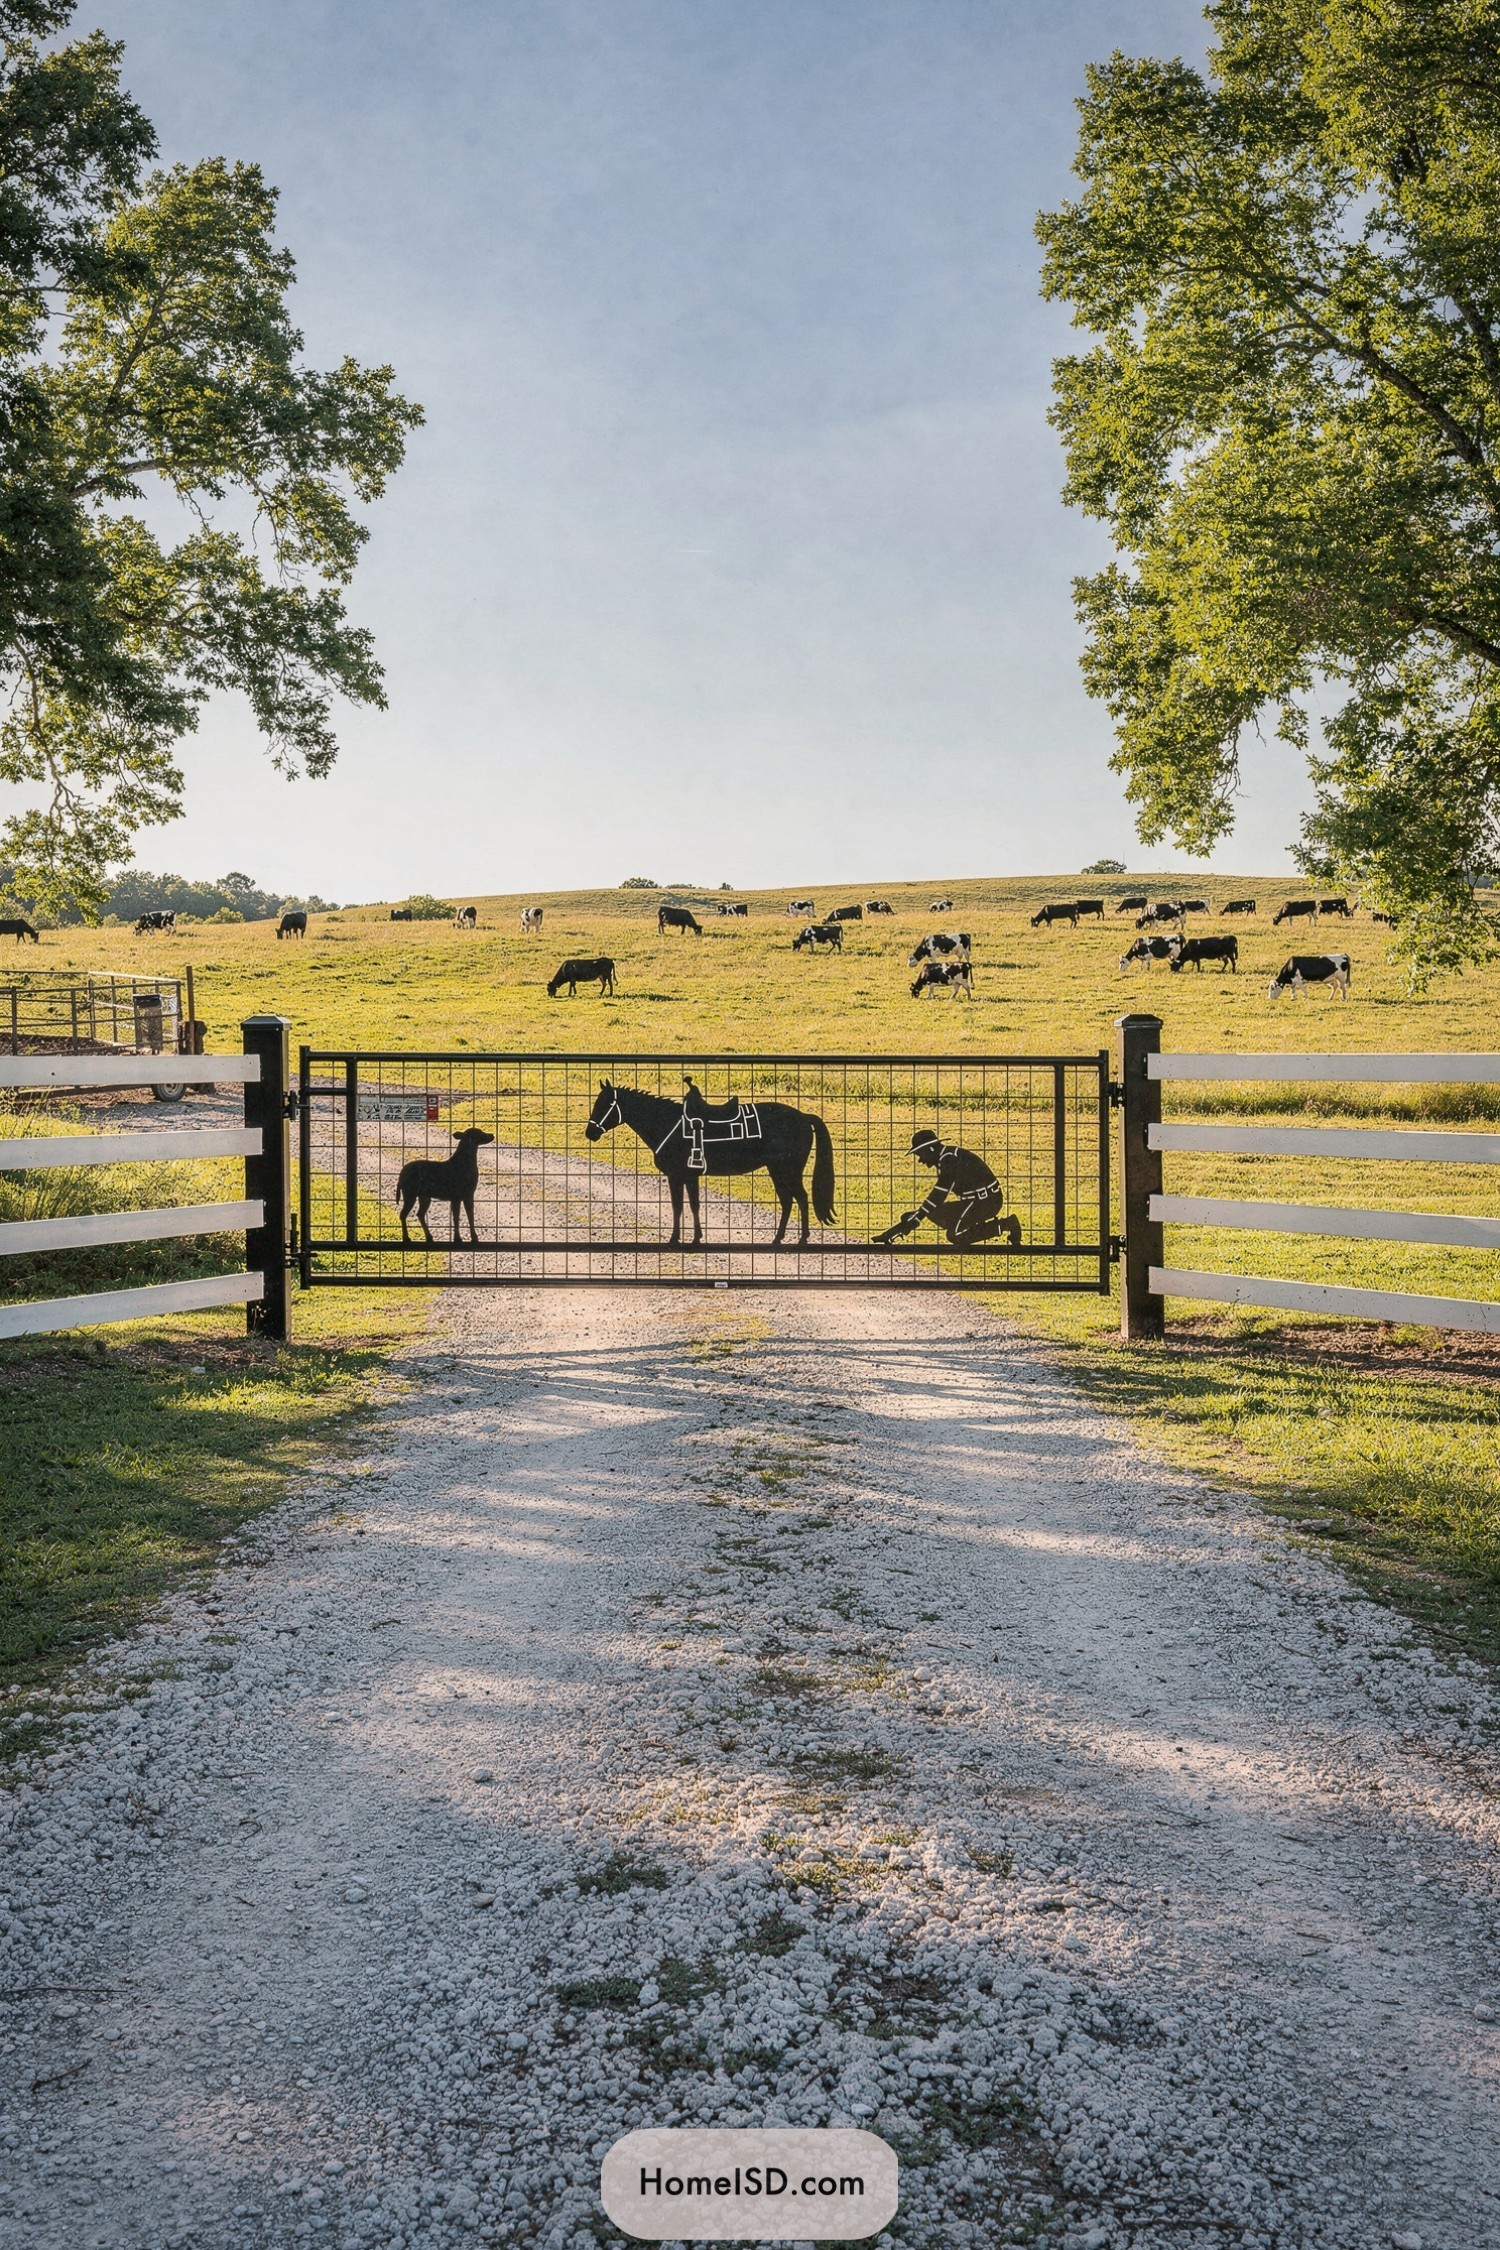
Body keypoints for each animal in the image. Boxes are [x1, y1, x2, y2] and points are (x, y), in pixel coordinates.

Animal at [584, 1080, 836, 1247]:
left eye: (606, 1105)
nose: (590, 1133)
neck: (668, 1124)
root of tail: (803, 1117)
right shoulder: (687, 1176)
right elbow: (691, 1205)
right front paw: (695, 1237)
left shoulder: (677, 1175)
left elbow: (679, 1206)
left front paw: (676, 1239)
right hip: (778, 1171)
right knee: (788, 1201)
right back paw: (778, 1238)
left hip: (786, 1170)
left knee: (800, 1198)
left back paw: (801, 1239)